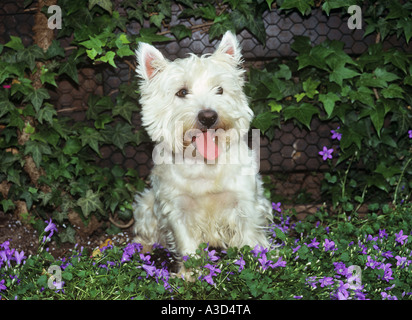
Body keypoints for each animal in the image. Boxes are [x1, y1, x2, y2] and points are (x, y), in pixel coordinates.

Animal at [133, 30, 274, 268]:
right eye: (182, 92)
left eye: (220, 89)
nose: (208, 117)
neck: (203, 164)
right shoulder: (177, 209)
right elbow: (187, 245)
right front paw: (192, 273)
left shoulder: (245, 202)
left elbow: (250, 236)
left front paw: (260, 263)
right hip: (147, 203)